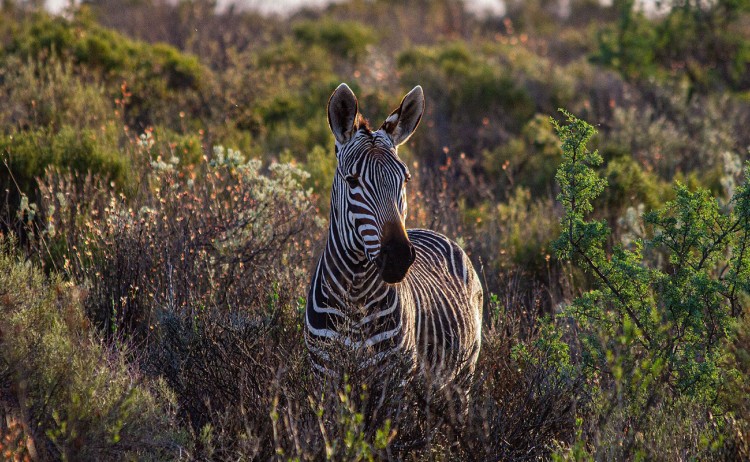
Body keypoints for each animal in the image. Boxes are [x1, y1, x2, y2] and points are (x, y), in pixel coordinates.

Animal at [305, 83, 483, 388]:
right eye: (352, 180)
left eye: (405, 179)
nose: (398, 257)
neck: (355, 294)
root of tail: (431, 231)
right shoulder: (323, 376)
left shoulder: (393, 381)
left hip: (463, 374)